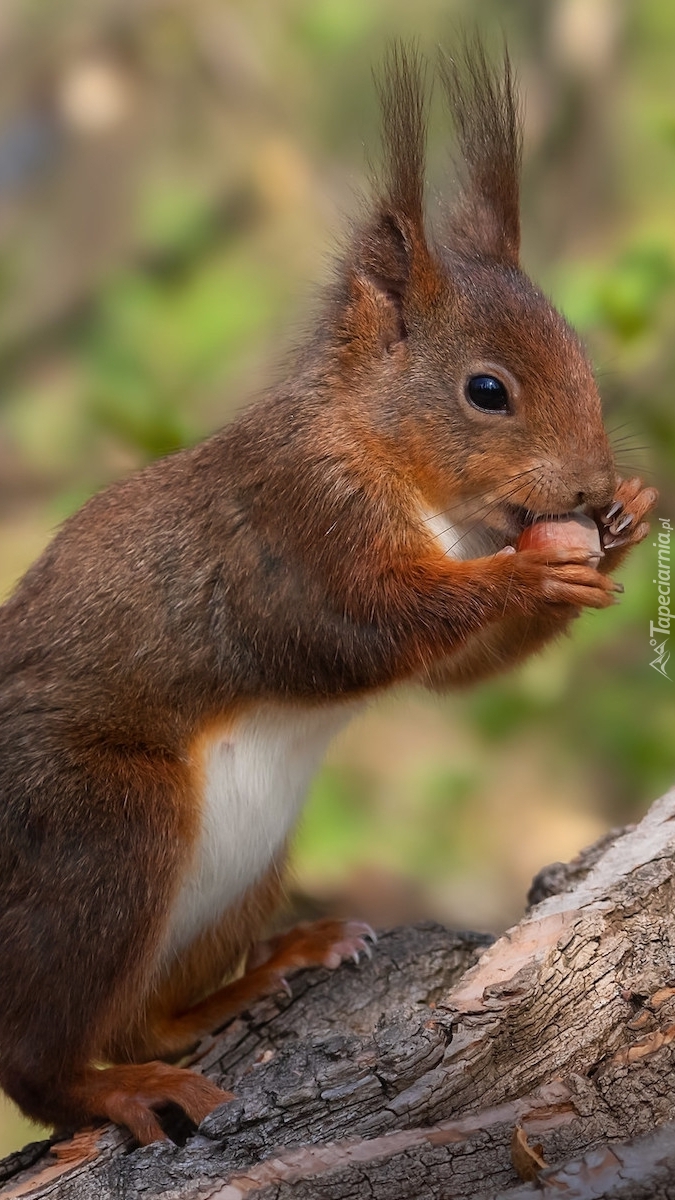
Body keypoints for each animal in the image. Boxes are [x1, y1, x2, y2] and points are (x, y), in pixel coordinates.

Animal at [0, 44, 653, 1142]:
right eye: (486, 390)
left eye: (581, 356)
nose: (592, 488)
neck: (400, 471)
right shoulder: (293, 528)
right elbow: (355, 631)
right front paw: (529, 568)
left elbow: (453, 675)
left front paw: (625, 526)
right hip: (102, 831)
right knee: (35, 1057)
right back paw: (112, 1090)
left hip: (241, 874)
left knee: (139, 1018)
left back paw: (260, 975)